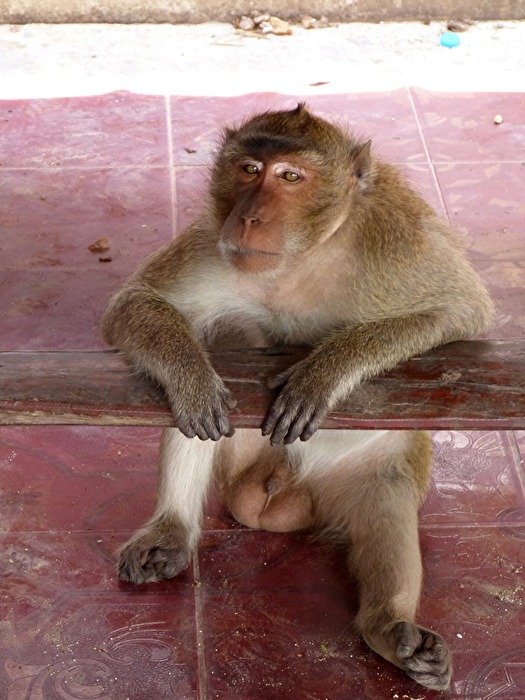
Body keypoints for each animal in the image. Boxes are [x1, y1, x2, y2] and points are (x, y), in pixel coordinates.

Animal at [101, 104, 493, 691]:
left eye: (290, 176)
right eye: (248, 168)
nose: (249, 218)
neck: (307, 257)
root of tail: (282, 481)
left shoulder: (399, 235)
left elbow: (461, 311)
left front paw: (322, 374)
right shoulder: (214, 241)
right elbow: (134, 305)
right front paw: (192, 375)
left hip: (353, 477)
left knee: (388, 495)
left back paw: (389, 627)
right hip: (240, 458)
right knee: (196, 409)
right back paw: (172, 531)